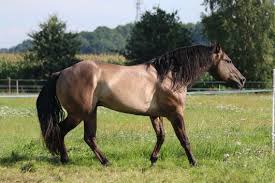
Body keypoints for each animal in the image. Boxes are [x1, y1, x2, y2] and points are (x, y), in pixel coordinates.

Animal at [36, 44, 246, 166]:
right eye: (228, 60)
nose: (242, 80)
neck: (169, 76)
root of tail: (62, 72)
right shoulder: (176, 114)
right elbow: (184, 139)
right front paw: (194, 162)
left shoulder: (156, 115)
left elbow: (161, 137)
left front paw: (153, 160)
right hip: (80, 114)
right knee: (65, 131)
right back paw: (78, 160)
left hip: (89, 113)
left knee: (87, 137)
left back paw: (93, 160)